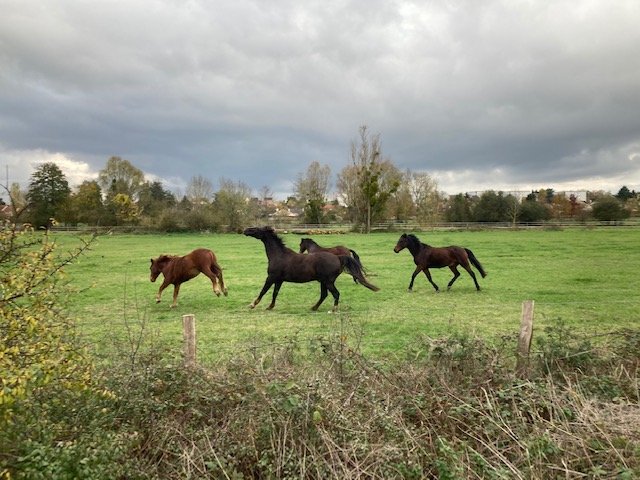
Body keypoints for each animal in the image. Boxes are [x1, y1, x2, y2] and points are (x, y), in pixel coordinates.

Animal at [244, 226, 379, 311]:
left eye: (258, 229)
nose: (246, 230)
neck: (279, 255)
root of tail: (339, 257)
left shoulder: (271, 277)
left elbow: (263, 291)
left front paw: (252, 305)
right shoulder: (279, 280)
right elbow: (275, 293)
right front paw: (270, 307)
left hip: (328, 281)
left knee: (335, 293)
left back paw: (333, 309)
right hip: (324, 282)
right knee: (324, 295)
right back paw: (314, 307)